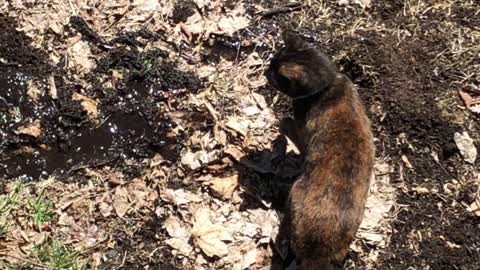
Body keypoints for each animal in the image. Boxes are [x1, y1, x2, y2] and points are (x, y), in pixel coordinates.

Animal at [266, 31, 376, 270]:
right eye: (271, 63)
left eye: (275, 74)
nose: (264, 72)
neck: (328, 84)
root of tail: (317, 256)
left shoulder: (303, 135)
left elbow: (284, 121)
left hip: (295, 192)